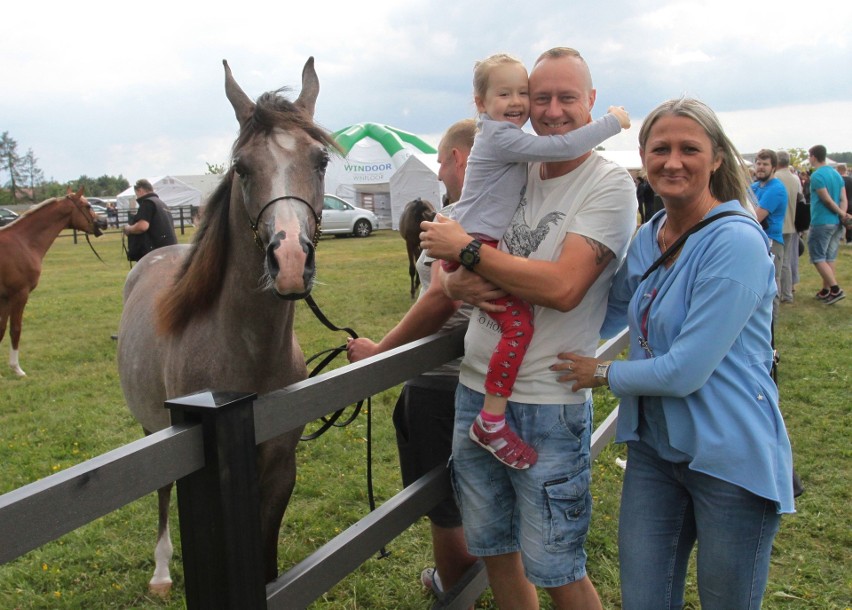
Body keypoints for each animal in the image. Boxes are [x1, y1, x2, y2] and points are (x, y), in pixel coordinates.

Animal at [0, 186, 105, 376]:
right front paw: (17, 369)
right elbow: (15, 330)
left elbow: (1, 330)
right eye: (87, 206)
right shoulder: (19, 294)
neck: (23, 242)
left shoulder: (4, 298)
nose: (103, 223)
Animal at [117, 58, 336, 592]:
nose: (290, 261)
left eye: (321, 160)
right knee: (161, 493)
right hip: (153, 430)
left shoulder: (279, 467)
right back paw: (160, 571)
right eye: (242, 167)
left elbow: (269, 559)